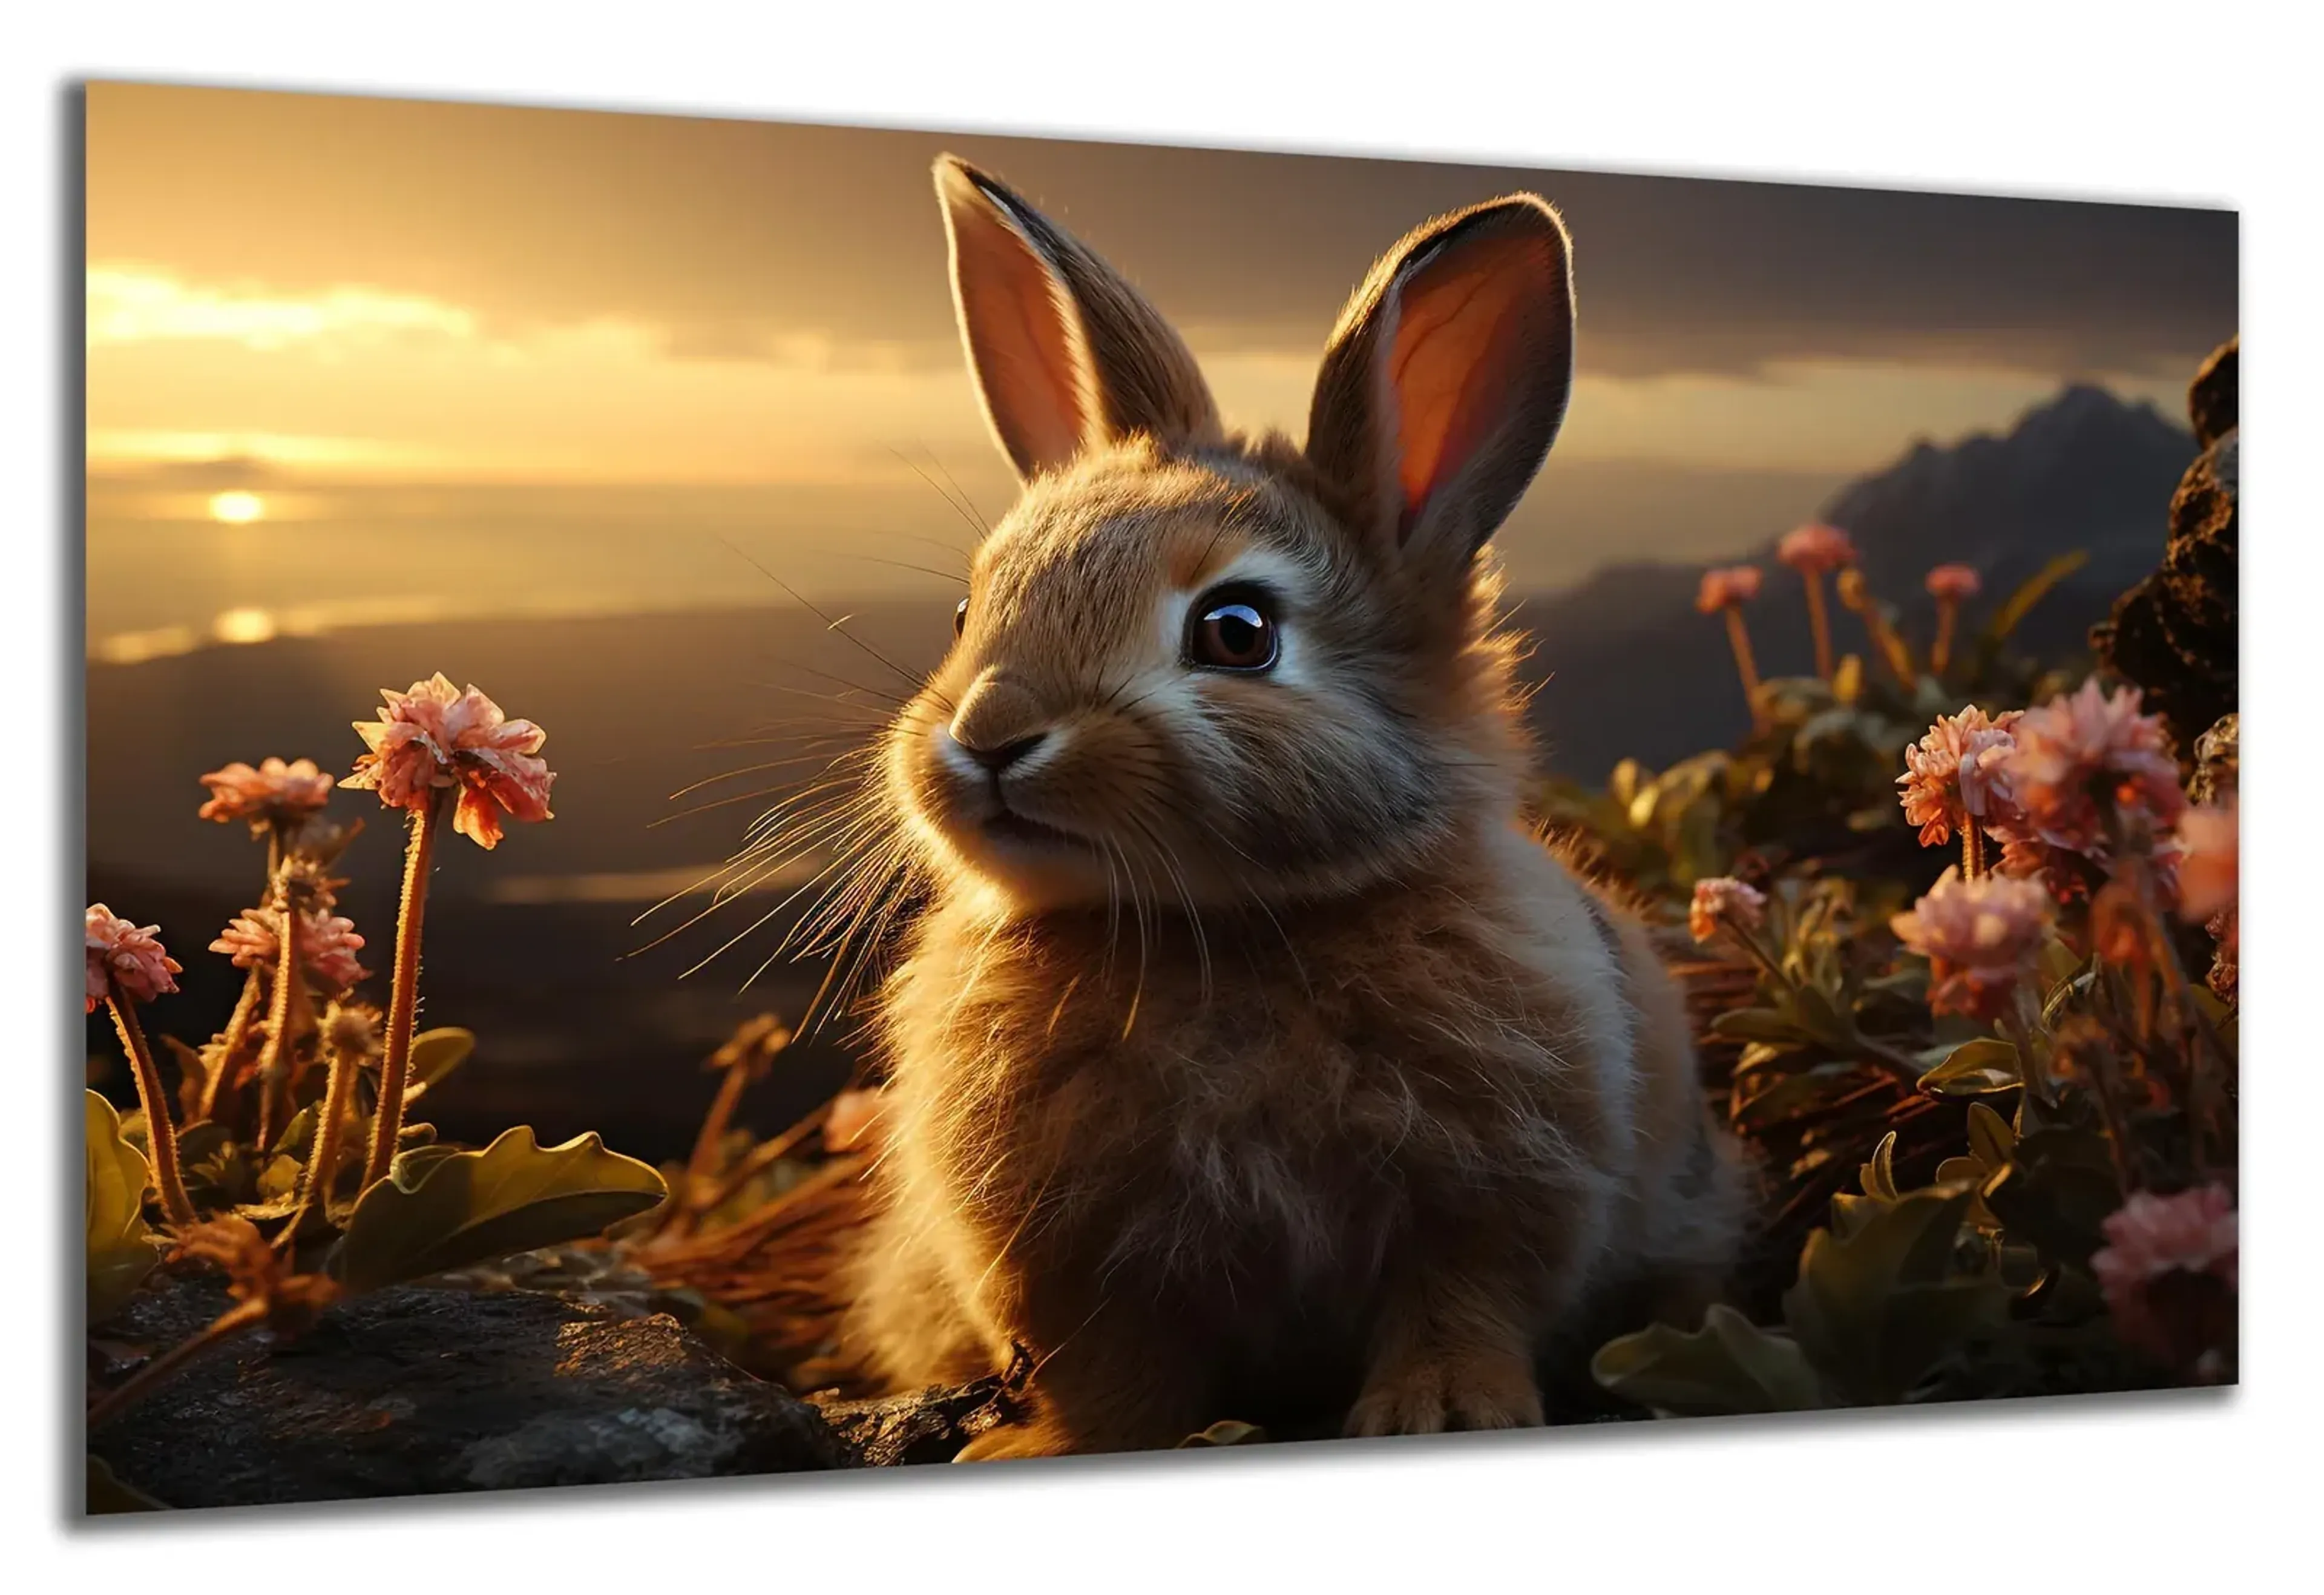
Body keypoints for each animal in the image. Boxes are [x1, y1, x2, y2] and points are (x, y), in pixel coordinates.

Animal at [837, 154, 1749, 1460]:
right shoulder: (1074, 1270)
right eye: (969, 613)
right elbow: (1114, 1375)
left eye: (1238, 632)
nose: (990, 739)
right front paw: (1053, 1446)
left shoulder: (1494, 1200)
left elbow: (1460, 1303)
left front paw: (1441, 1413)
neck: (1212, 930)